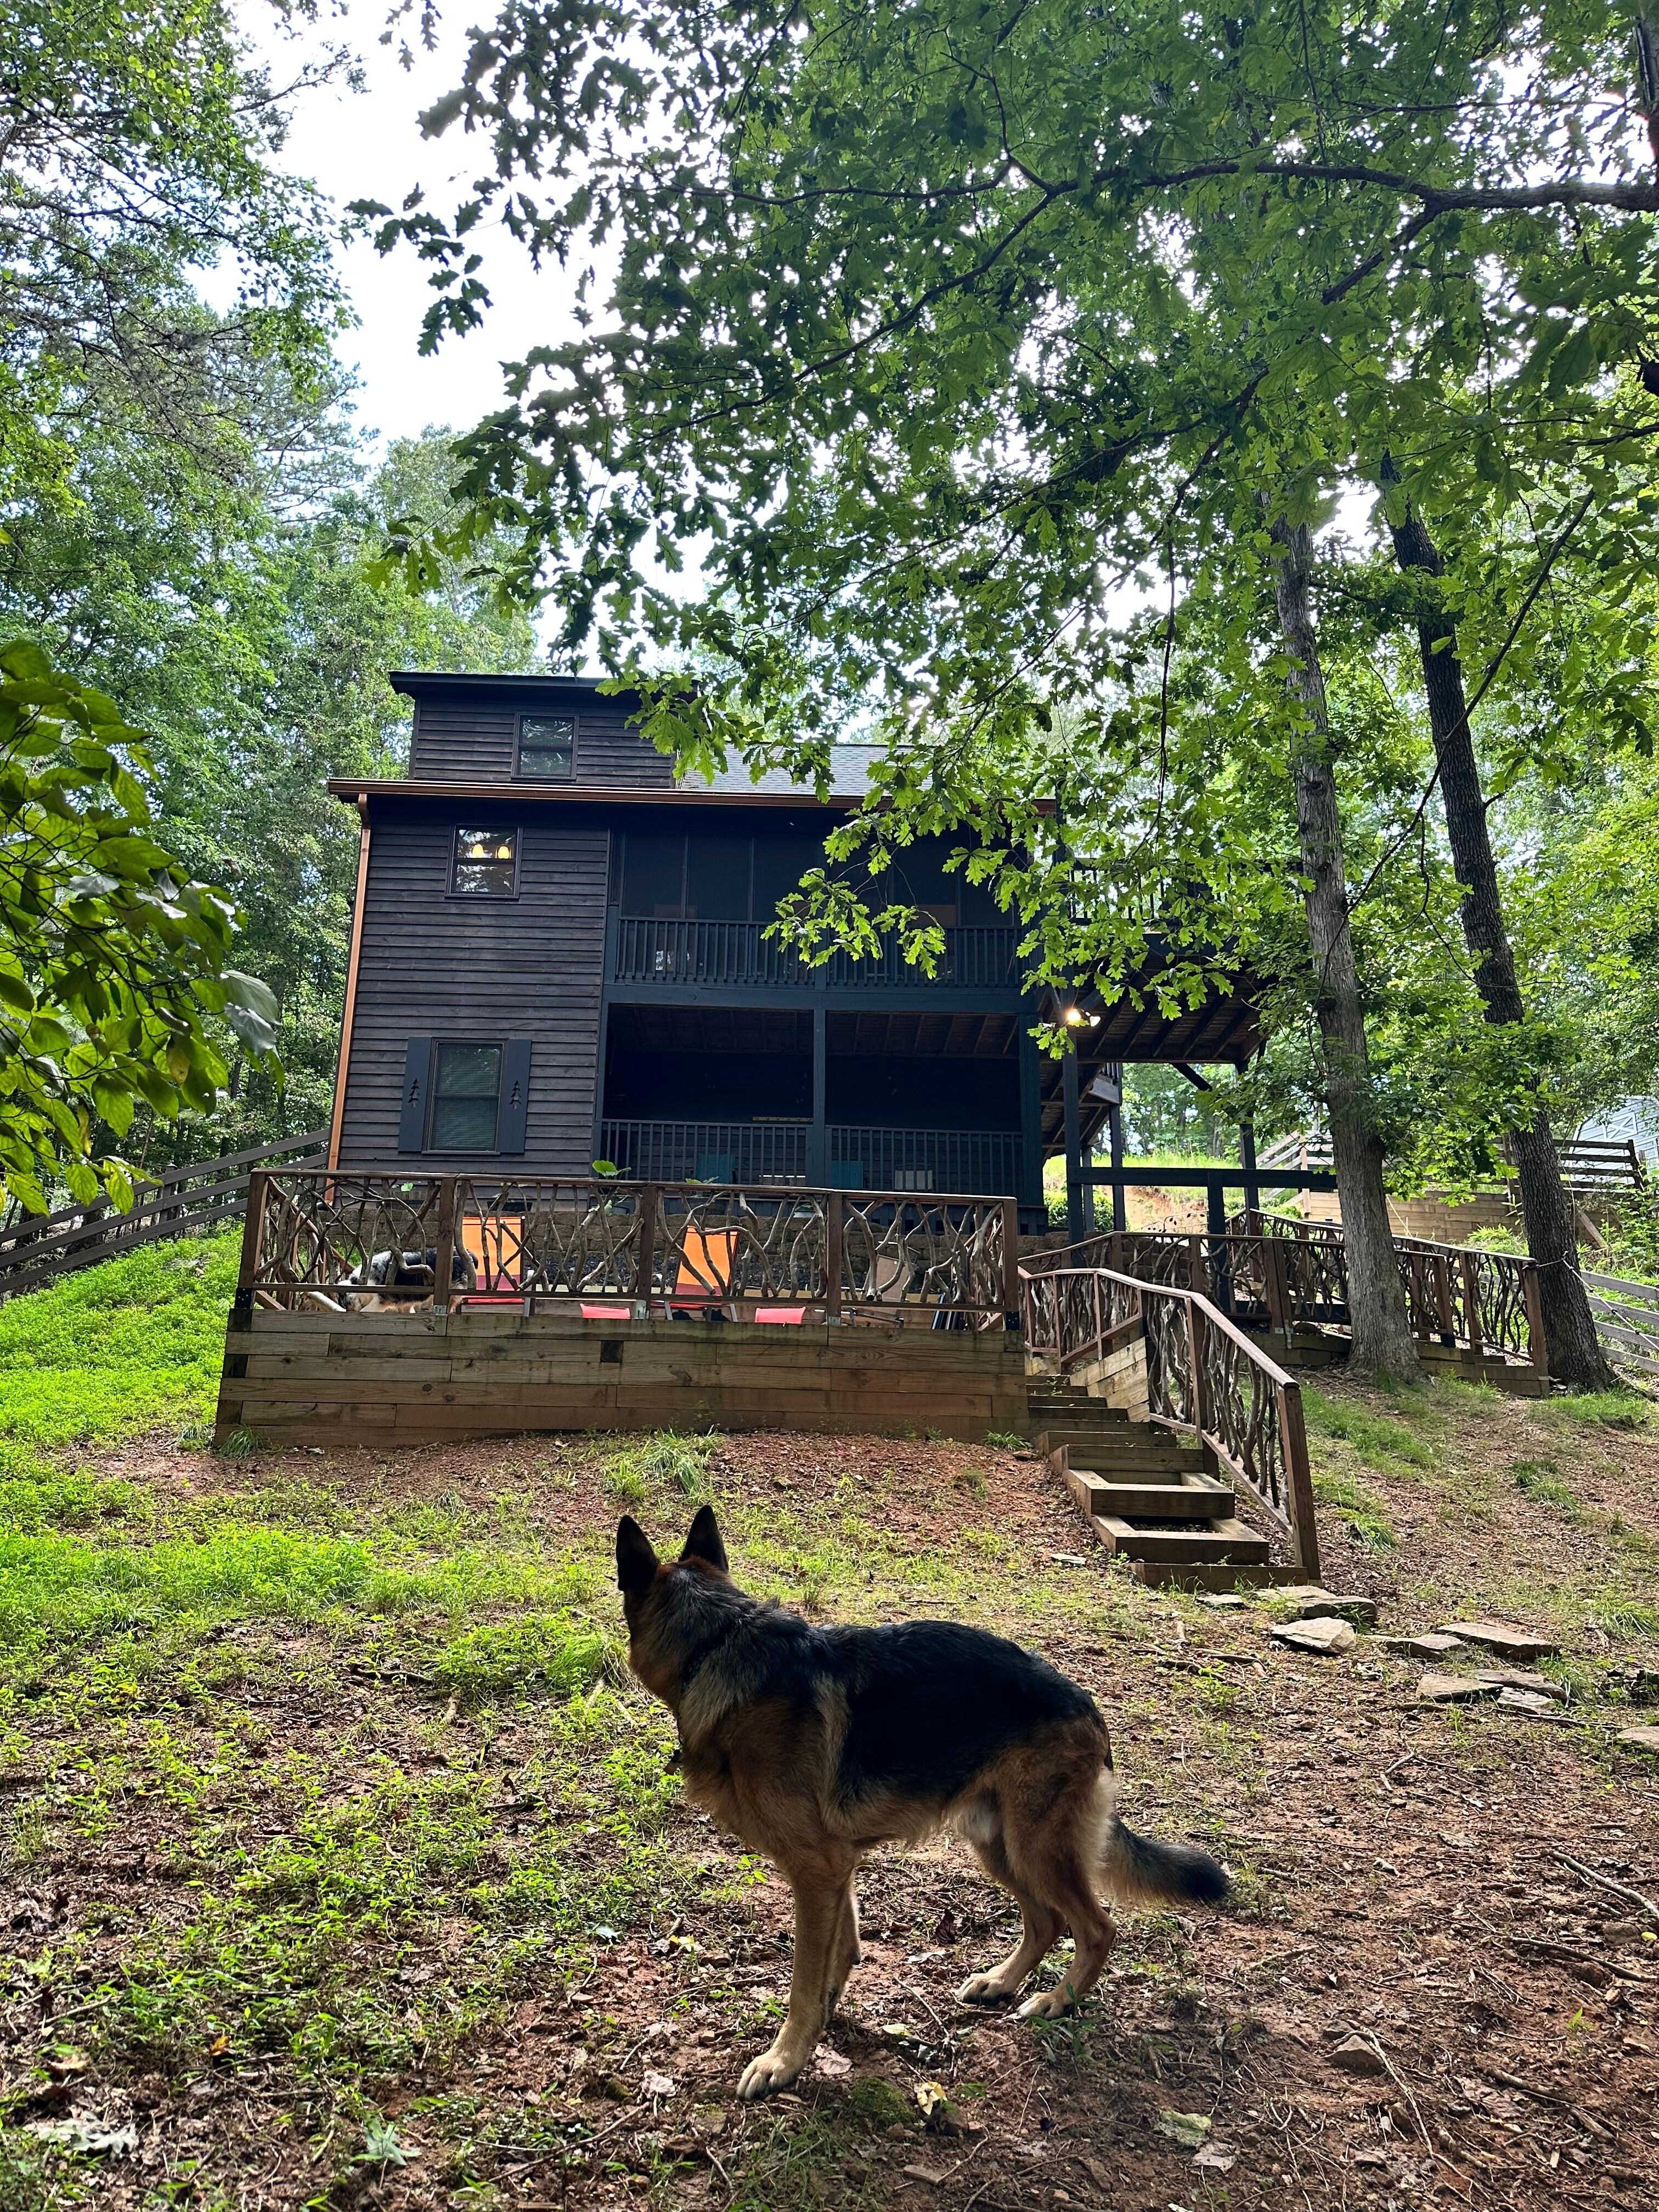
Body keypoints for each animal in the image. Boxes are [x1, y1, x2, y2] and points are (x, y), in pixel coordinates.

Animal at [616, 1506, 1230, 2101]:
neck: (716, 1642)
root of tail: (1086, 1705)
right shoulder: (837, 1868)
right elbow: (844, 1946)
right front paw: (827, 2014)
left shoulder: (816, 1870)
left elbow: (803, 1979)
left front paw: (785, 2060)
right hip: (999, 1845)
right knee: (1047, 1921)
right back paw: (1001, 1983)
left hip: (1036, 1848)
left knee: (1096, 1928)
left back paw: (1058, 2001)